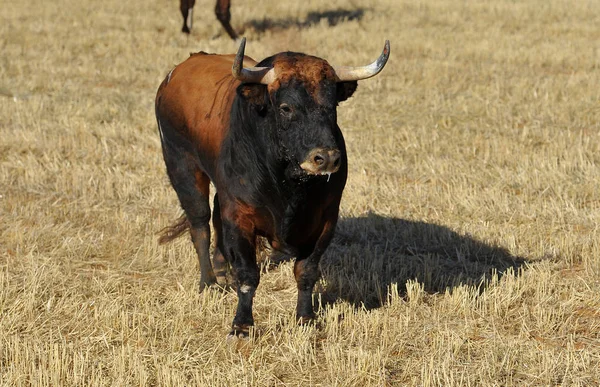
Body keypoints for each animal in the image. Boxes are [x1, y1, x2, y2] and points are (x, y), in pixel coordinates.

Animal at [155, 38, 390, 338]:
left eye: (332, 106)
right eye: (286, 107)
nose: (326, 158)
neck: (290, 185)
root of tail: (179, 70)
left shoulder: (327, 219)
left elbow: (306, 270)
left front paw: (305, 318)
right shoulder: (240, 216)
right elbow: (248, 274)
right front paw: (242, 325)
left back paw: (221, 271)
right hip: (182, 167)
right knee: (200, 225)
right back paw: (208, 282)